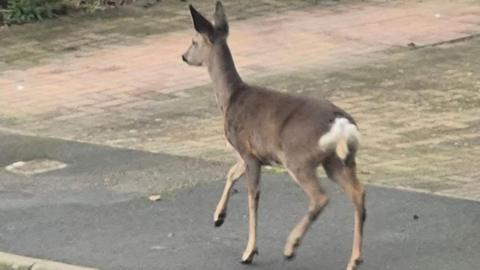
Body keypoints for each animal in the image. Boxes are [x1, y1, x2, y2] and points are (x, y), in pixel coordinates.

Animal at [182, 2, 366, 270]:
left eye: (194, 41)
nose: (184, 56)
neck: (230, 98)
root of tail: (341, 123)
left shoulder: (247, 152)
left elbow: (253, 198)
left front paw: (249, 251)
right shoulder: (252, 152)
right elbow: (231, 173)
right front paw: (218, 217)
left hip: (298, 158)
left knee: (320, 197)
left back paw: (291, 247)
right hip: (338, 160)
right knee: (358, 194)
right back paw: (354, 260)